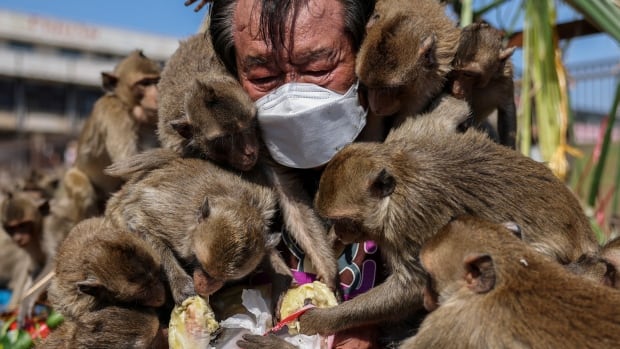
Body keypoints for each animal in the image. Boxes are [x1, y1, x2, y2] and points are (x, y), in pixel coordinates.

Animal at [104, 150, 284, 304]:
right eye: (201, 266)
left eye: (225, 280)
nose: (203, 288)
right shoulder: (174, 225)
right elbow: (136, 220)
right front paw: (180, 283)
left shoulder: (264, 205)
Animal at [296, 98, 600, 334]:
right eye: (336, 222)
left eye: (345, 221)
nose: (340, 232)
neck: (397, 186)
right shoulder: (408, 139)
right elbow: (449, 112)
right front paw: (326, 253)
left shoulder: (414, 218)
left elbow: (413, 286)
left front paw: (322, 320)